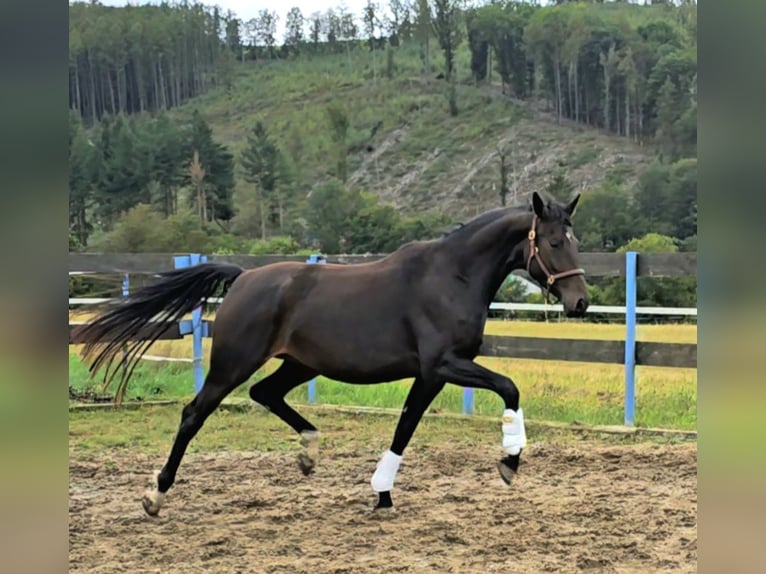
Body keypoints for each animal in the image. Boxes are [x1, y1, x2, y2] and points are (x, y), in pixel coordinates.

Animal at [74, 191, 589, 517]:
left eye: (575, 240)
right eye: (553, 242)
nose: (580, 302)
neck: (452, 276)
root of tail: (243, 277)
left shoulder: (431, 374)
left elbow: (405, 426)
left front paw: (382, 493)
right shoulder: (443, 365)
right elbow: (509, 387)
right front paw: (509, 463)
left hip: (299, 364)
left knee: (265, 394)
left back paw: (309, 452)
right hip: (233, 364)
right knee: (193, 413)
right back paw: (155, 496)